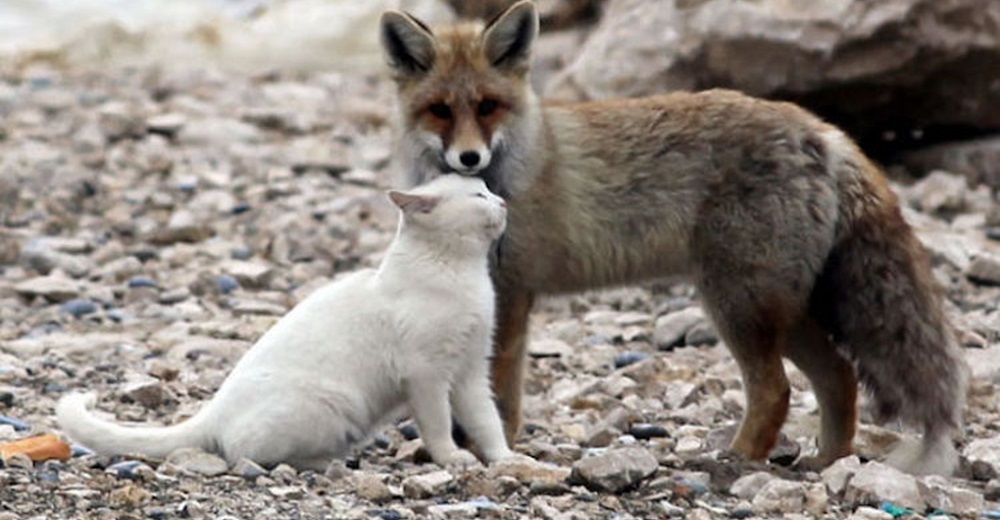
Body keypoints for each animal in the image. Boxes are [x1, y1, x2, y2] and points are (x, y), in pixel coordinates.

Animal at [57, 175, 516, 472]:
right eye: (479, 194)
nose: (503, 202)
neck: (462, 274)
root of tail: (214, 409)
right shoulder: (426, 376)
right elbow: (438, 425)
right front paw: (453, 458)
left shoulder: (471, 372)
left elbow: (487, 422)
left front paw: (507, 460)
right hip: (331, 405)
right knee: (246, 453)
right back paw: (327, 463)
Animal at [376, 1, 968, 476]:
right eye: (440, 110)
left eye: (487, 106)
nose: (469, 158)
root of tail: (823, 130)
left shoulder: (514, 290)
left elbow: (499, 393)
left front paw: (494, 449)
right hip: (781, 309)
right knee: (840, 376)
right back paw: (829, 462)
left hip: (738, 305)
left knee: (775, 391)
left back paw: (735, 460)